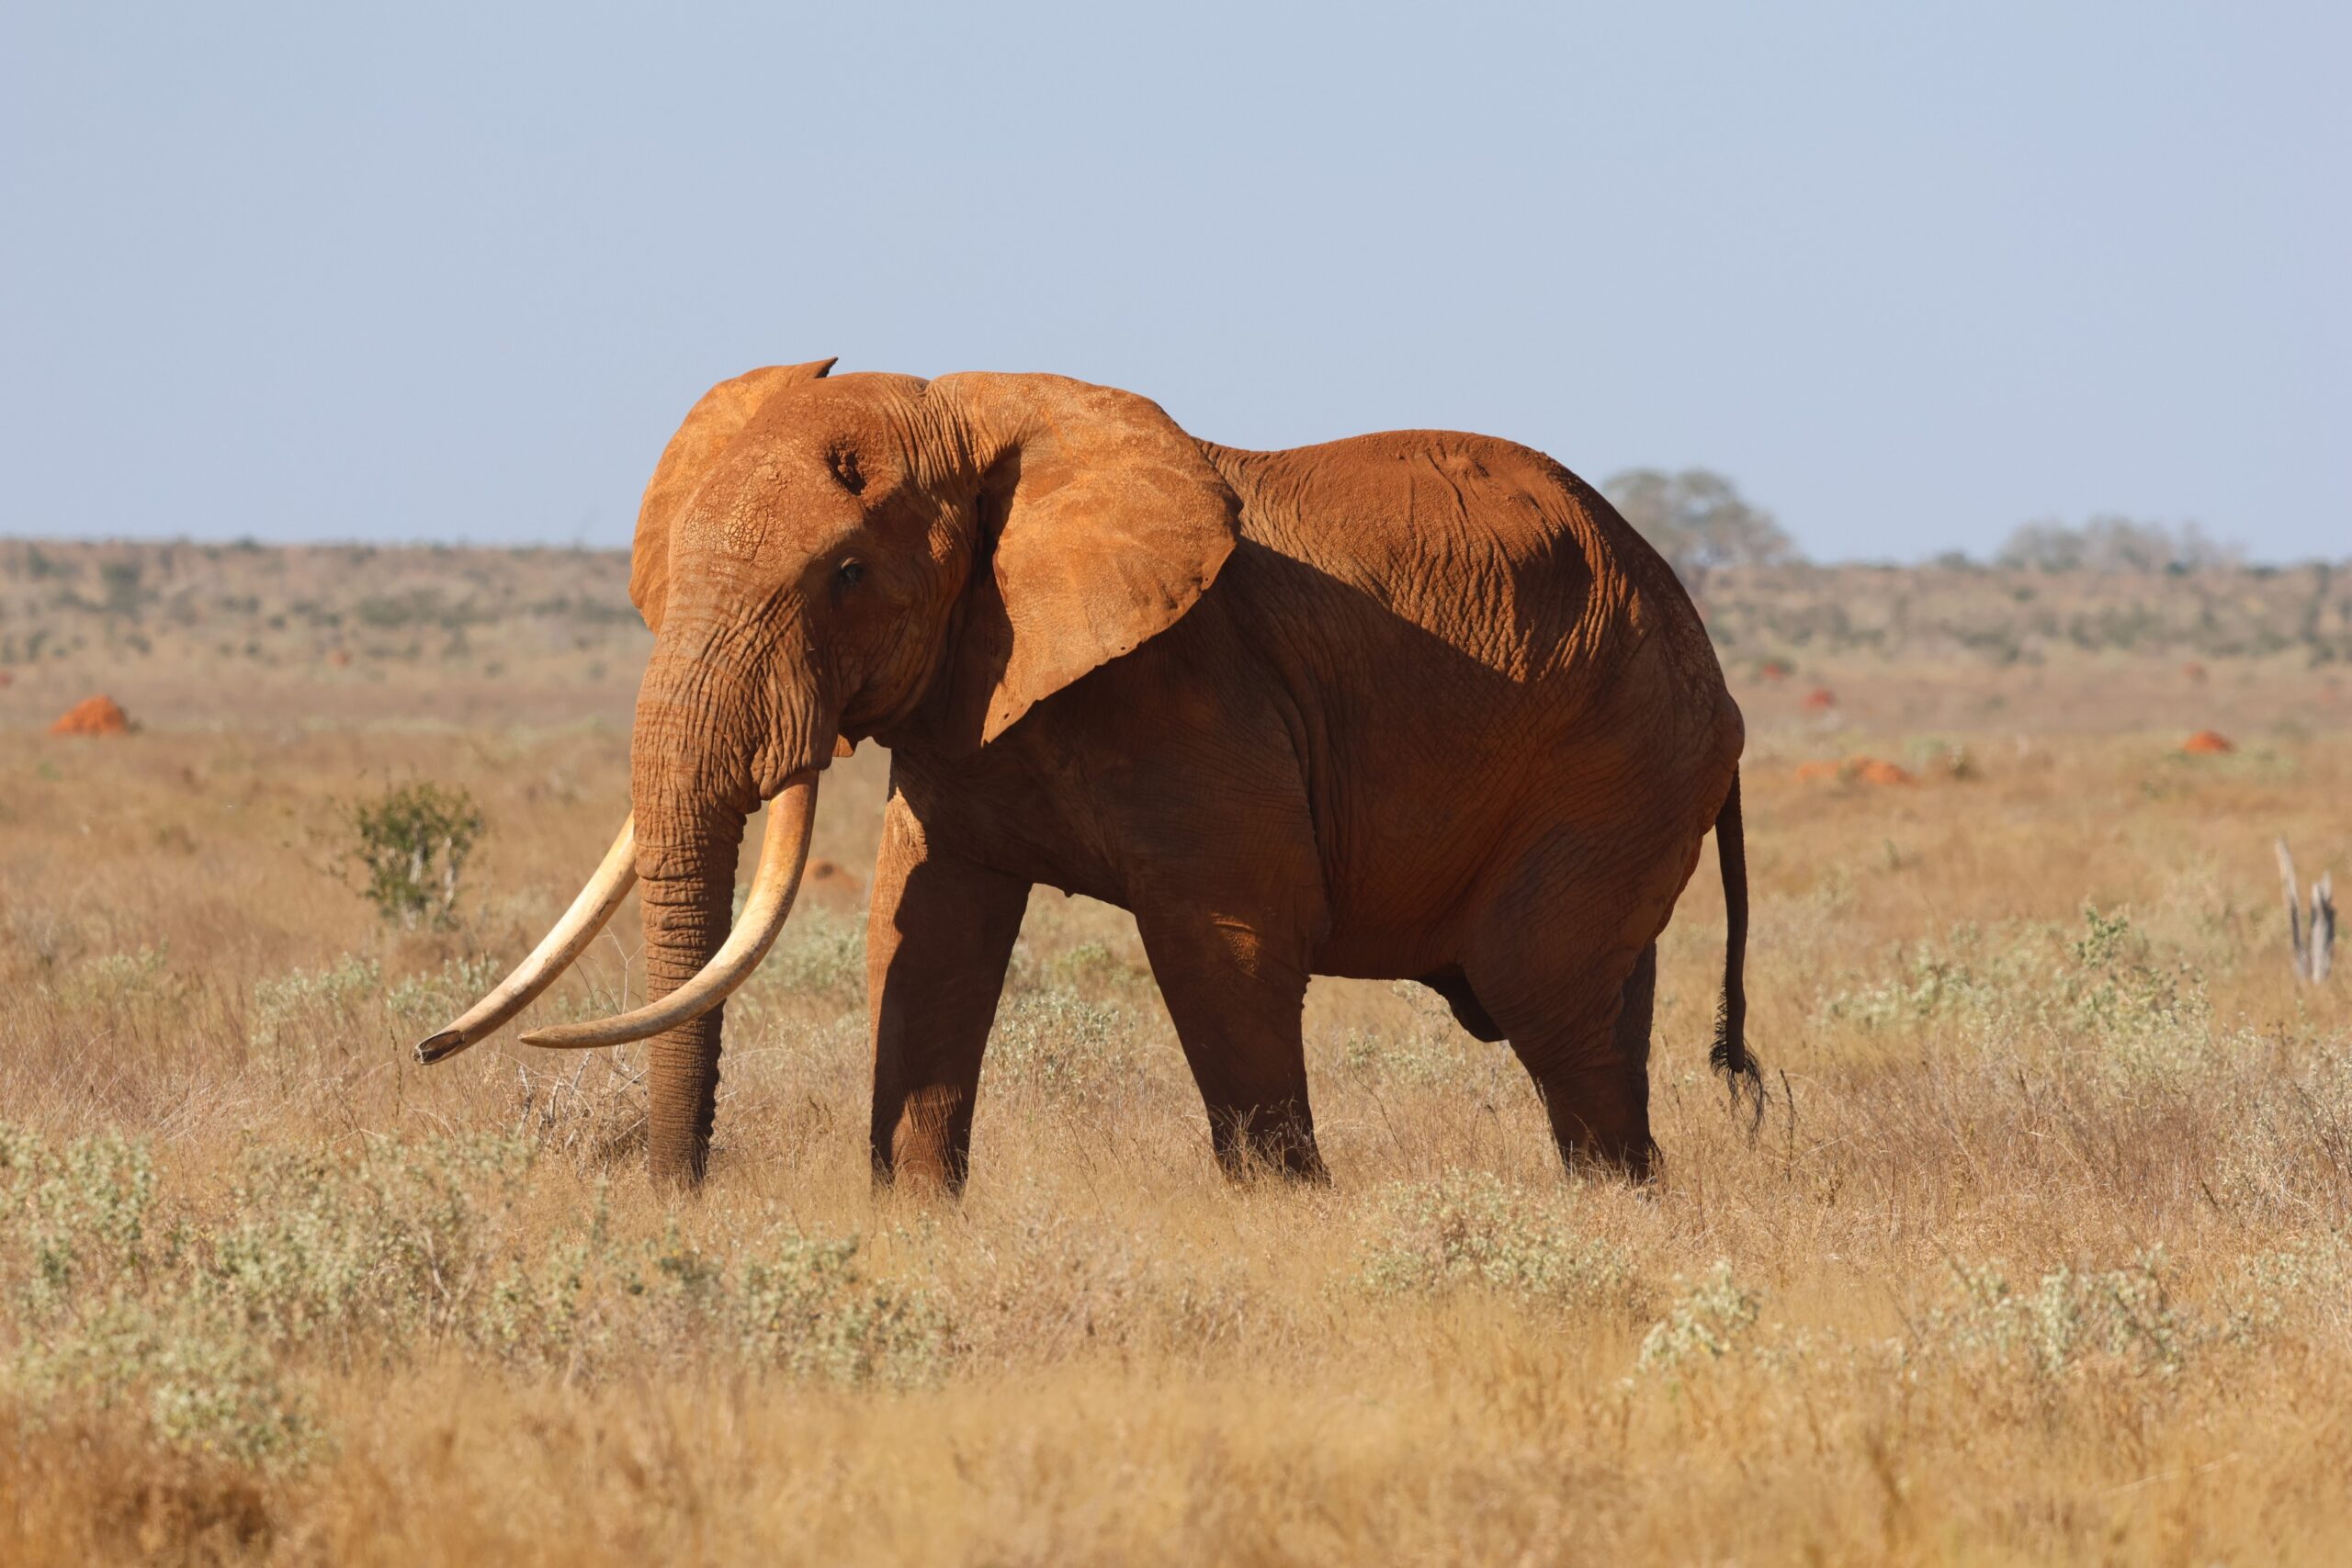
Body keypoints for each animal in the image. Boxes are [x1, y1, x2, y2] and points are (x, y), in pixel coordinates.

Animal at [415, 360, 1756, 1189]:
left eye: (846, 576)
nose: (679, 1193)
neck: (967, 415)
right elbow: (922, 933)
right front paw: (912, 1213)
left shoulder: (1199, 692)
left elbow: (1232, 944)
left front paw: (1287, 1216)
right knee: (1593, 1010)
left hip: (1622, 760)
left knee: (1547, 1002)